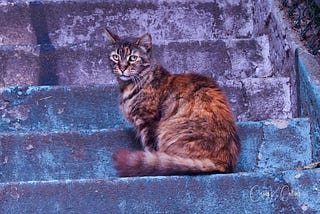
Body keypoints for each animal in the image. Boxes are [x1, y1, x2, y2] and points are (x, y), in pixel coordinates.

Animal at [105, 28, 240, 177]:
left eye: (133, 58)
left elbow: (150, 148)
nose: (122, 67)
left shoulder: (148, 122)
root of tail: (225, 163)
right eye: (116, 57)